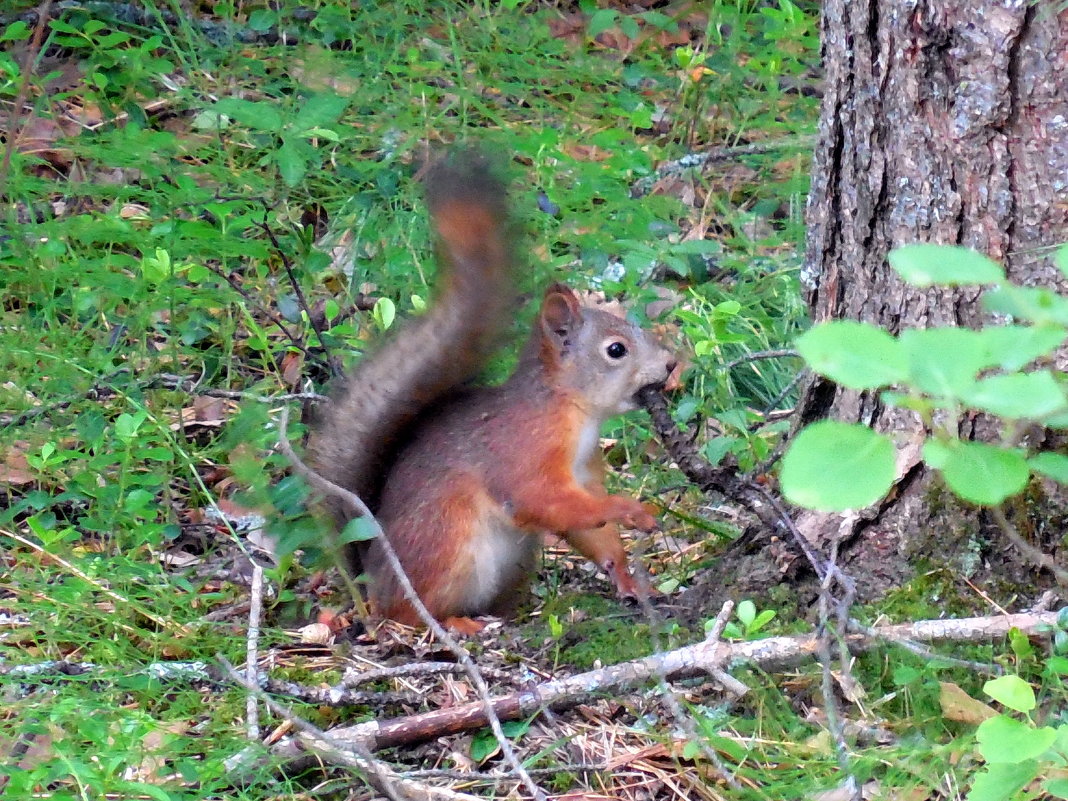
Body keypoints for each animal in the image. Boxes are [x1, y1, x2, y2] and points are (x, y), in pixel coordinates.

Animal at [309, 154, 674, 632]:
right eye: (616, 350)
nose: (670, 365)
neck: (575, 412)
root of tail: (370, 584)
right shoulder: (522, 449)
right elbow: (544, 501)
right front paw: (628, 509)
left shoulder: (584, 473)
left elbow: (587, 530)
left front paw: (624, 573)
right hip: (446, 544)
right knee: (408, 613)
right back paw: (453, 623)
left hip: (514, 560)